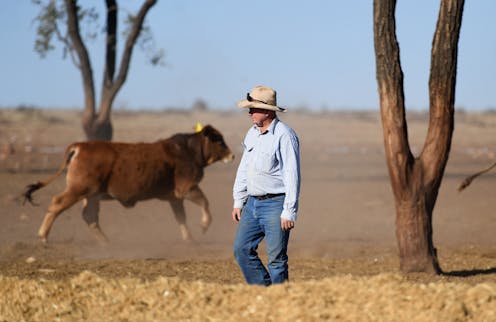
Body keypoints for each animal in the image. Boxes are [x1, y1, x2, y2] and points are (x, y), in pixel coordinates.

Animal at [21, 124, 234, 243]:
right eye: (219, 141)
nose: (232, 156)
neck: (188, 151)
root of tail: (80, 146)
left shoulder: (175, 198)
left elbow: (181, 218)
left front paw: (189, 238)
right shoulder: (187, 188)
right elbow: (205, 203)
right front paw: (204, 225)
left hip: (91, 196)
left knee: (89, 216)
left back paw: (106, 241)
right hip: (78, 190)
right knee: (57, 203)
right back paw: (43, 236)